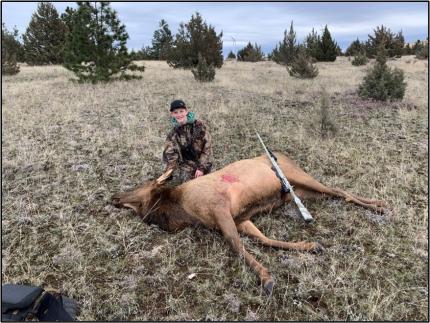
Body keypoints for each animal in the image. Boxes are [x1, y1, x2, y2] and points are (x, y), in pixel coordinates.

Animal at [110, 152, 386, 296]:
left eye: (139, 186)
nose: (114, 197)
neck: (181, 210)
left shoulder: (220, 208)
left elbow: (237, 247)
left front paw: (267, 279)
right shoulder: (241, 218)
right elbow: (264, 239)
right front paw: (311, 246)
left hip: (299, 176)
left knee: (338, 190)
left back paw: (380, 205)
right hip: (300, 192)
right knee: (335, 192)